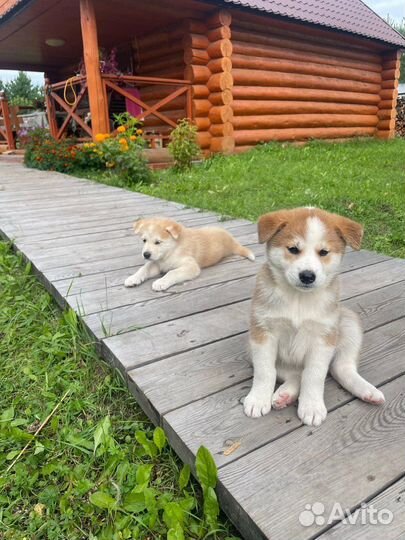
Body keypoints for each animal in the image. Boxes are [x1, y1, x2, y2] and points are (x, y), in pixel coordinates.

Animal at [124, 215, 254, 292]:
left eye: (158, 242)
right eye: (144, 240)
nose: (146, 254)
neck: (171, 251)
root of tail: (230, 237)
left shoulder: (190, 266)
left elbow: (172, 272)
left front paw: (161, 282)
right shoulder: (156, 263)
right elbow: (143, 269)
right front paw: (133, 278)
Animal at [243, 207, 386, 426]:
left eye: (323, 252)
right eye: (293, 249)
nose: (307, 276)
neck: (298, 299)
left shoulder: (323, 338)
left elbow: (314, 375)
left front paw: (311, 406)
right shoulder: (263, 332)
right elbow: (265, 371)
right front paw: (258, 399)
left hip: (348, 323)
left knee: (340, 368)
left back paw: (368, 391)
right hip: (252, 347)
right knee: (293, 373)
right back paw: (284, 395)